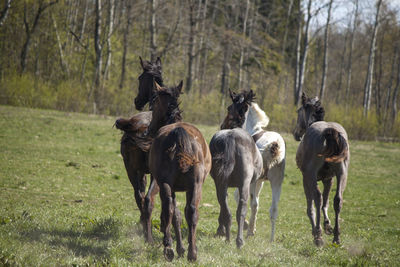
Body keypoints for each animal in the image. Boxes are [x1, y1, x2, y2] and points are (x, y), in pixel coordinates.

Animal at [145, 81, 212, 262]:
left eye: (154, 103)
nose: (149, 129)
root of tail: (178, 134)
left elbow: (175, 215)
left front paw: (179, 247)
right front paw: (183, 248)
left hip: (166, 184)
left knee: (169, 208)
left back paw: (169, 247)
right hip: (195, 185)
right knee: (192, 211)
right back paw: (192, 252)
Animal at [220, 89, 286, 243]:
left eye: (229, 108)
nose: (222, 126)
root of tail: (273, 146)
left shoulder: (252, 180)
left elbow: (240, 197)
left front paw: (246, 226)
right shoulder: (261, 181)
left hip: (254, 181)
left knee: (252, 203)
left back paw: (249, 231)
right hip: (276, 182)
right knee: (273, 209)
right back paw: (271, 239)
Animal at [294, 93, 350, 248]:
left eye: (298, 111)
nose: (296, 134)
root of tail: (329, 132)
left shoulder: (306, 178)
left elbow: (311, 207)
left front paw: (317, 230)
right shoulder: (328, 179)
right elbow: (326, 203)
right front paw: (328, 226)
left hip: (312, 175)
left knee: (317, 198)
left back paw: (318, 237)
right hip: (342, 173)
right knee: (338, 200)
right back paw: (336, 237)